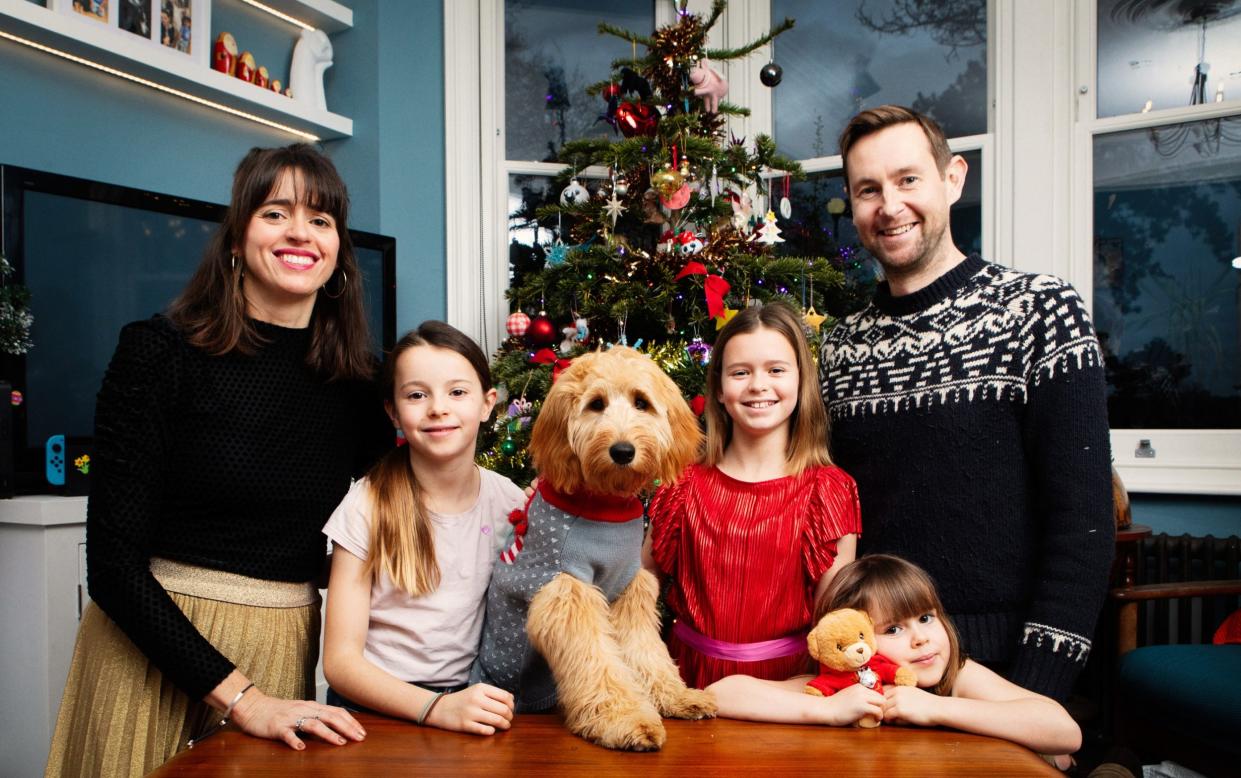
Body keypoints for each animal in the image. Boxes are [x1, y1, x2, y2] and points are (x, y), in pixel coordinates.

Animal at [469, 347, 714, 749]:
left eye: (641, 402)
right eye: (596, 404)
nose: (623, 451)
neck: (605, 505)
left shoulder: (629, 590)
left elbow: (648, 652)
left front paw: (676, 696)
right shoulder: (569, 595)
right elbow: (598, 662)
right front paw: (626, 719)